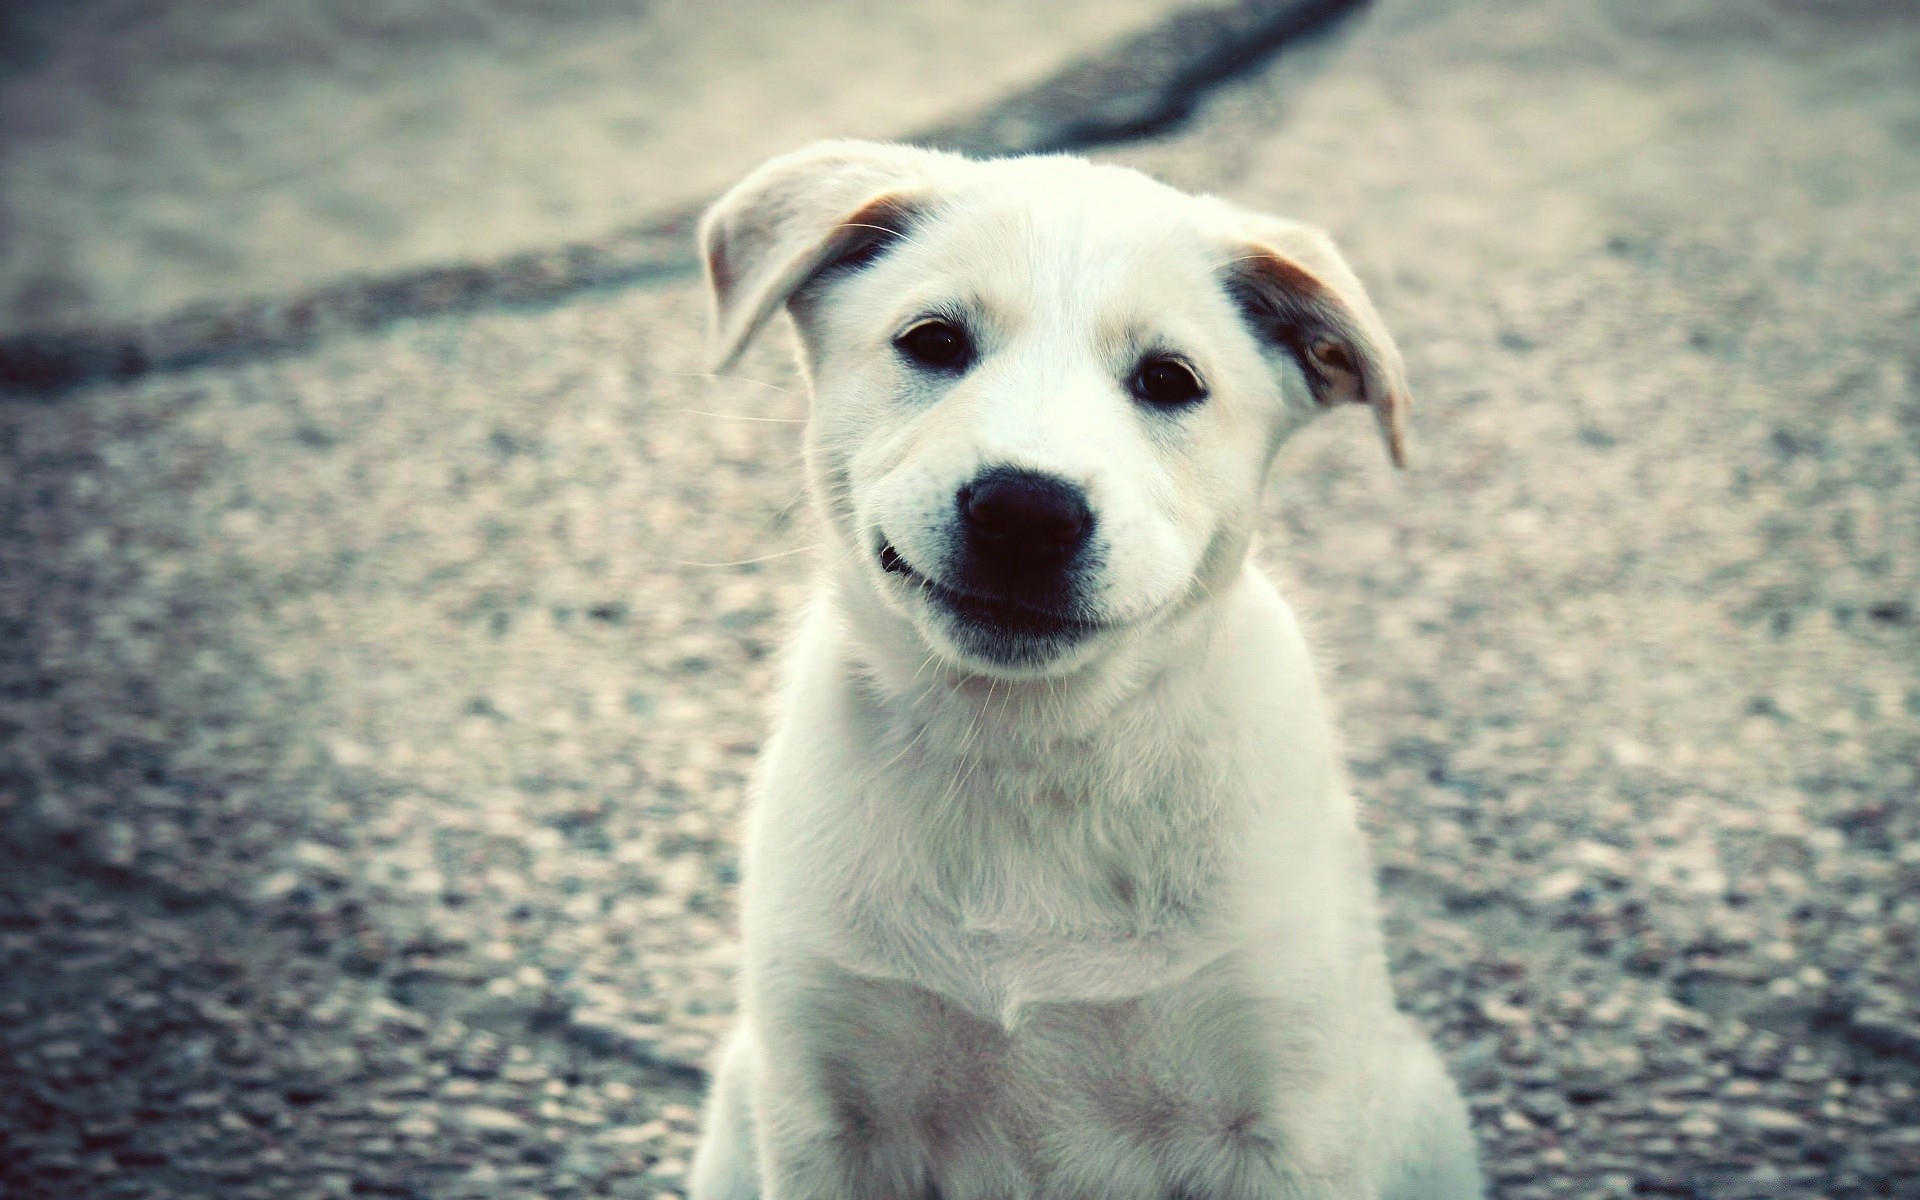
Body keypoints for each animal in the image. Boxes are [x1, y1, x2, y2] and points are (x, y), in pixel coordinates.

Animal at [691, 140, 1482, 1198]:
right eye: (933, 340)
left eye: (1171, 380)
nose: (1027, 510)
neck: (1030, 755)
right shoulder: (829, 1114)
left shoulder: (1284, 1121)